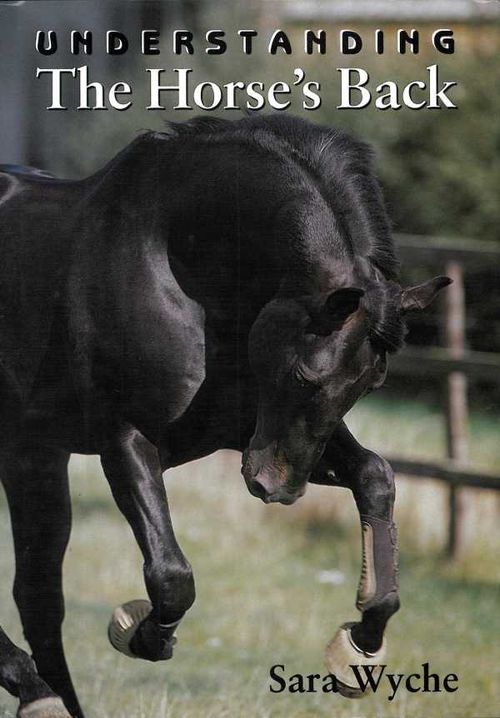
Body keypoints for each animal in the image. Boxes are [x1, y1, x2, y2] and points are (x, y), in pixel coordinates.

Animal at [0, 114, 450, 717]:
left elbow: (375, 473)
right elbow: (172, 577)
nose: (274, 489)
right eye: (305, 374)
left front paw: (360, 641)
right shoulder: (126, 438)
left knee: (39, 595)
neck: (176, 262)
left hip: (34, 456)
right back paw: (35, 689)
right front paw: (141, 633)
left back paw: (44, 698)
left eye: (370, 384)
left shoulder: (247, 435)